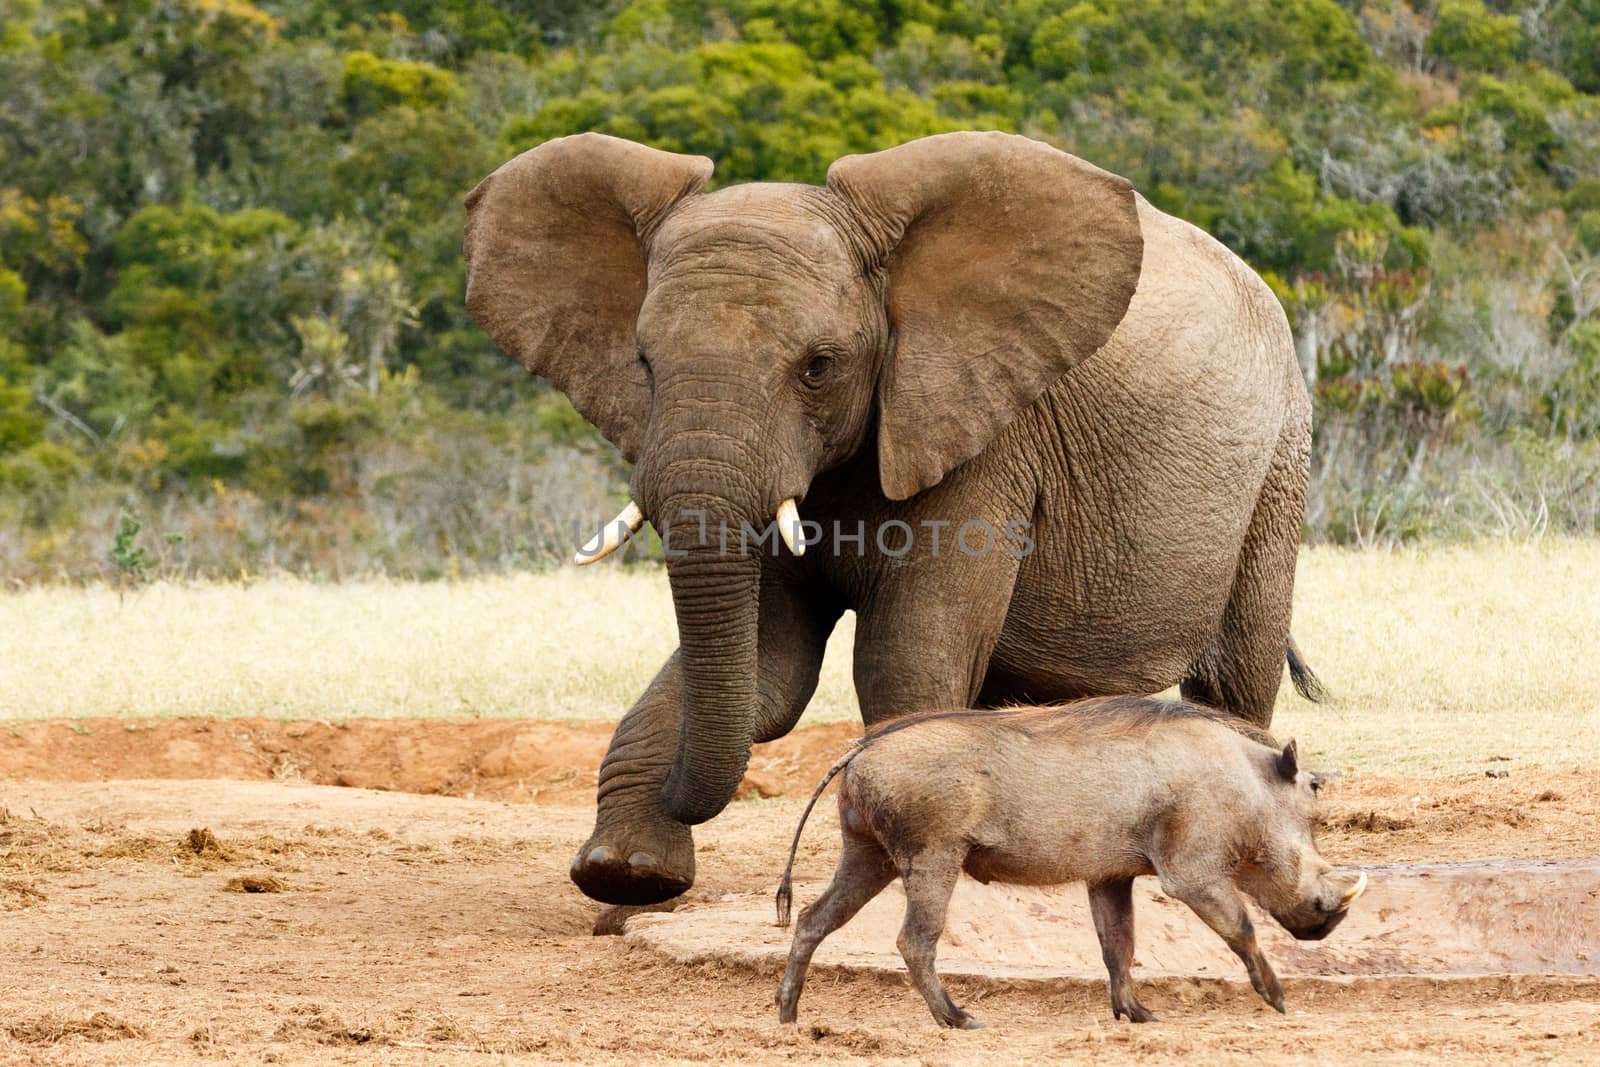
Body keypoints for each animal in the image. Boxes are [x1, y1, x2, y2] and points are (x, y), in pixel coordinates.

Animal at [464, 129, 1324, 908]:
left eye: (818, 367)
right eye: (643, 363)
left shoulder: (982, 436)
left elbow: (901, 658)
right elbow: (772, 672)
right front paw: (626, 873)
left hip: (1278, 461)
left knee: (1234, 676)